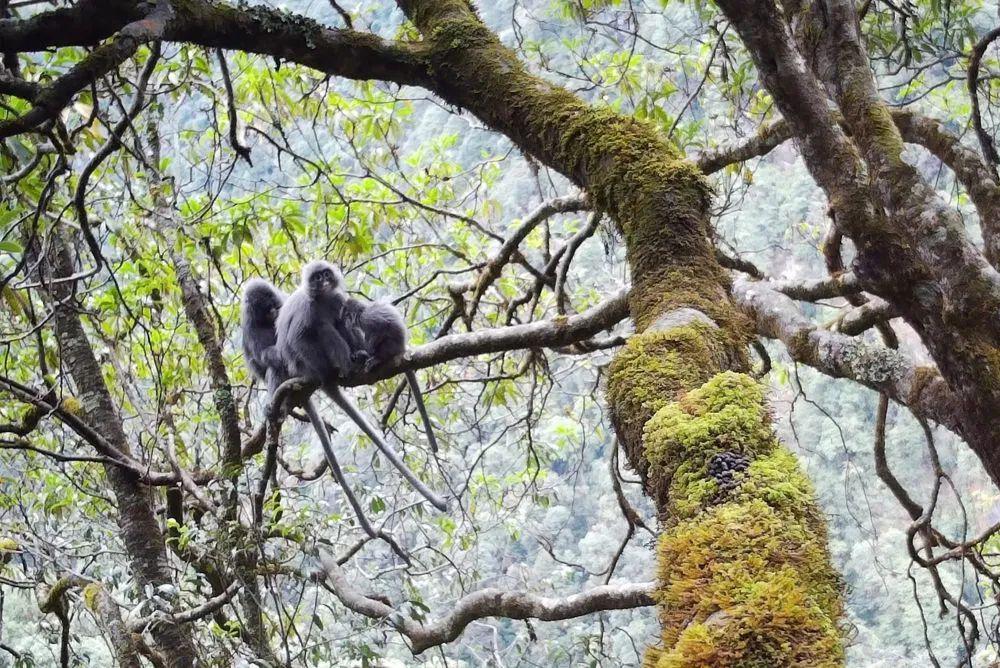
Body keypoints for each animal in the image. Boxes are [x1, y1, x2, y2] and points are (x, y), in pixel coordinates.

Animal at [239, 276, 410, 560]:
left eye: (273, 304)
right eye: (265, 307)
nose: (273, 311)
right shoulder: (250, 326)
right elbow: (263, 357)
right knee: (276, 365)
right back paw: (277, 406)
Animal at [342, 302, 440, 454]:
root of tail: (401, 348)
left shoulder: (367, 318)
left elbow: (383, 325)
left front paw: (368, 353)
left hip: (389, 347)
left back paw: (376, 358)